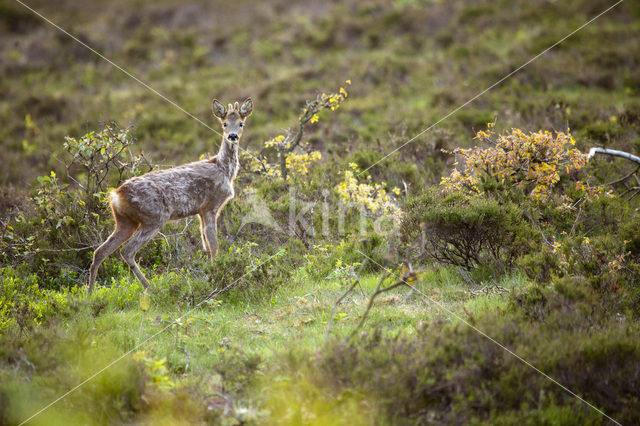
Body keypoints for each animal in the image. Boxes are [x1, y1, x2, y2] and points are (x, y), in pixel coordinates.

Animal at [87, 98, 252, 294]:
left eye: (241, 123)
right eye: (224, 123)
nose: (232, 136)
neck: (224, 169)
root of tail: (115, 196)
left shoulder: (200, 212)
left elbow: (206, 246)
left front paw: (210, 272)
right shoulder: (210, 206)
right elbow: (214, 246)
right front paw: (217, 274)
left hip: (125, 222)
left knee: (100, 252)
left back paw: (89, 295)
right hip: (154, 216)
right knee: (127, 251)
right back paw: (150, 288)